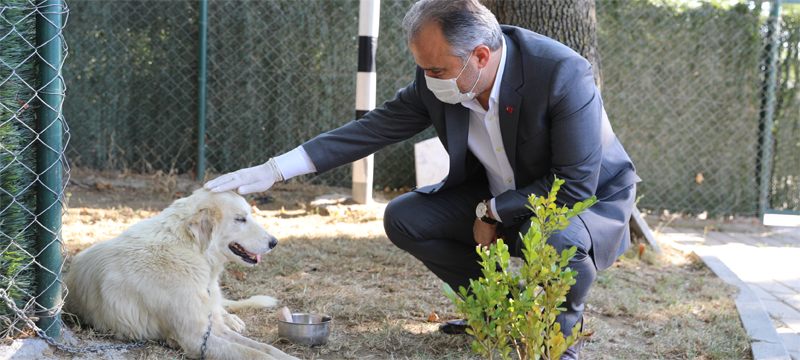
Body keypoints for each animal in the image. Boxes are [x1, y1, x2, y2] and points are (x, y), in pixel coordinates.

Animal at [65, 190, 296, 358]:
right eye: (241, 219)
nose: (274, 242)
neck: (191, 251)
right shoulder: (195, 338)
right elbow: (254, 353)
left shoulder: (209, 330)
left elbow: (266, 348)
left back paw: (232, 319)